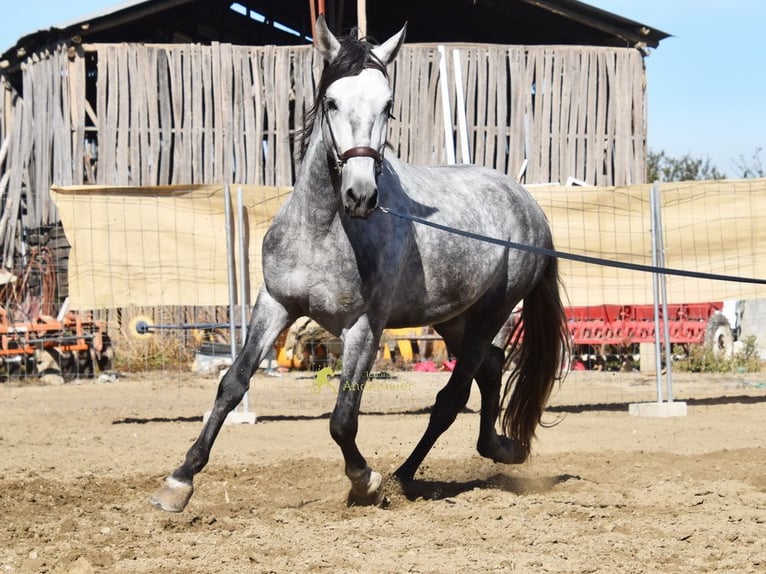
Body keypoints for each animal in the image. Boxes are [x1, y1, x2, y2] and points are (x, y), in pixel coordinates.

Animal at [150, 15, 570, 512]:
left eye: (388, 105)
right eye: (331, 101)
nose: (361, 195)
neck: (322, 230)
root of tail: (528, 204)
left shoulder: (365, 327)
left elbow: (343, 418)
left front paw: (364, 480)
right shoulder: (275, 304)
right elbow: (232, 384)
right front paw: (178, 482)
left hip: (492, 312)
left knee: (453, 394)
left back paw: (405, 476)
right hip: (453, 318)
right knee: (488, 367)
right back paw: (497, 448)